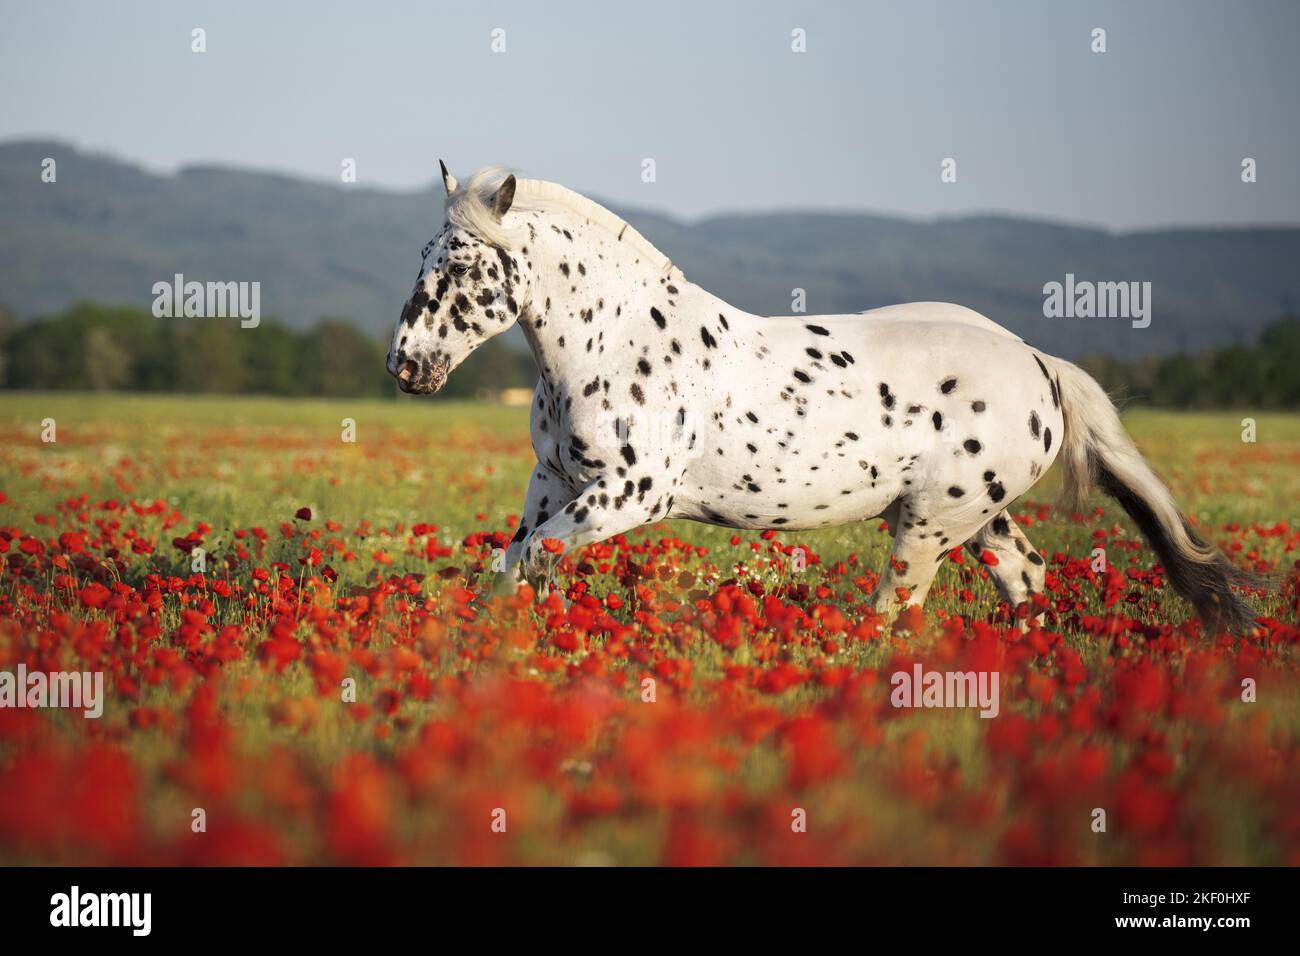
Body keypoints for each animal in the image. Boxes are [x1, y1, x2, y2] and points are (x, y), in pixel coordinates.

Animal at [386, 163, 1258, 632]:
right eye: (424, 253)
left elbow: (536, 558)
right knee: (1026, 579)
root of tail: (1039, 363)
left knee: (895, 611)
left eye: (460, 266)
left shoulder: (632, 494)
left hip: (929, 526)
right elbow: (513, 564)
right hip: (978, 517)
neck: (619, 342)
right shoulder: (555, 482)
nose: (407, 366)